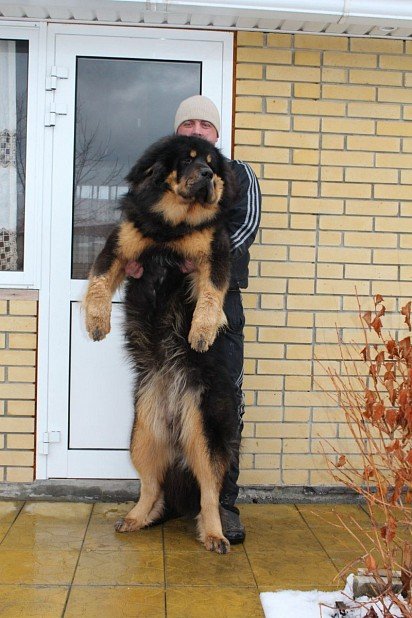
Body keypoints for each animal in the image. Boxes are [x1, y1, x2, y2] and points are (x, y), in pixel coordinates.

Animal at [83, 135, 238, 552]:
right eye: (187, 161)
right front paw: (95, 321)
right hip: (142, 435)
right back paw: (137, 518)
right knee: (153, 488)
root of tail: (174, 418)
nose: (207, 176)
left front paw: (202, 332)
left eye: (211, 164)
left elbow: (211, 295)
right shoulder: (121, 245)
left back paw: (215, 534)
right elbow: (99, 282)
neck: (173, 226)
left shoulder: (213, 253)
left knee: (209, 494)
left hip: (204, 430)